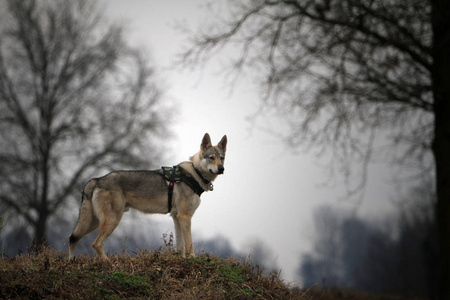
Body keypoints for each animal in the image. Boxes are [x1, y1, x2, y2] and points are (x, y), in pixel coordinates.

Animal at [68, 134, 227, 260]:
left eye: (222, 158)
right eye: (211, 158)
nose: (221, 169)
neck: (194, 173)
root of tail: (97, 180)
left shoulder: (177, 217)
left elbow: (180, 245)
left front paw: (181, 259)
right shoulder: (185, 216)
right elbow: (189, 243)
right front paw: (192, 259)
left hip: (93, 222)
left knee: (72, 238)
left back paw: (72, 261)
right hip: (111, 221)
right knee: (96, 243)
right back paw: (108, 262)